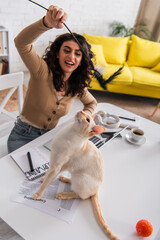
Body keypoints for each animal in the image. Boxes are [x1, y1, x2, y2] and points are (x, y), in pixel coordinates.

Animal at [33, 110, 119, 240]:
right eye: (86, 114)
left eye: (87, 119)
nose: (81, 111)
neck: (69, 132)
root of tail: (97, 190)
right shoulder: (56, 163)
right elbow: (48, 174)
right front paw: (43, 178)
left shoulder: (58, 165)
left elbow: (47, 182)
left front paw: (38, 193)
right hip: (74, 173)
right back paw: (65, 178)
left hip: (81, 178)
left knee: (82, 195)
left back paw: (63, 194)